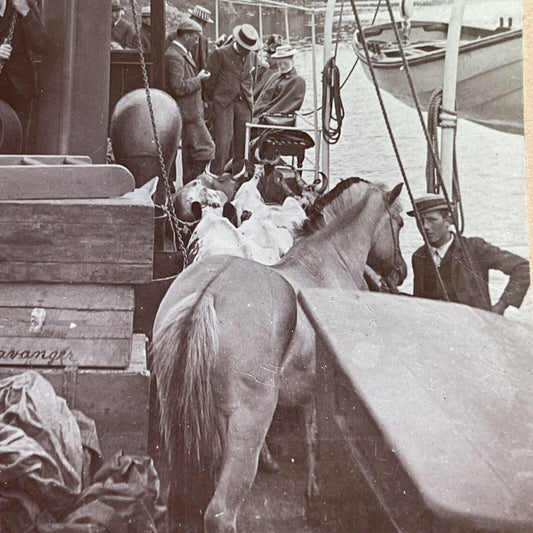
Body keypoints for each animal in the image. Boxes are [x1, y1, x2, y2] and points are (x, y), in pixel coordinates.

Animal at [152, 177, 406, 528]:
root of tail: (207, 296)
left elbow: (311, 436)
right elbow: (317, 439)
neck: (327, 260)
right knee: (220, 511)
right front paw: (314, 496)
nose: (401, 272)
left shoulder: (308, 390)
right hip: (248, 422)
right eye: (400, 222)